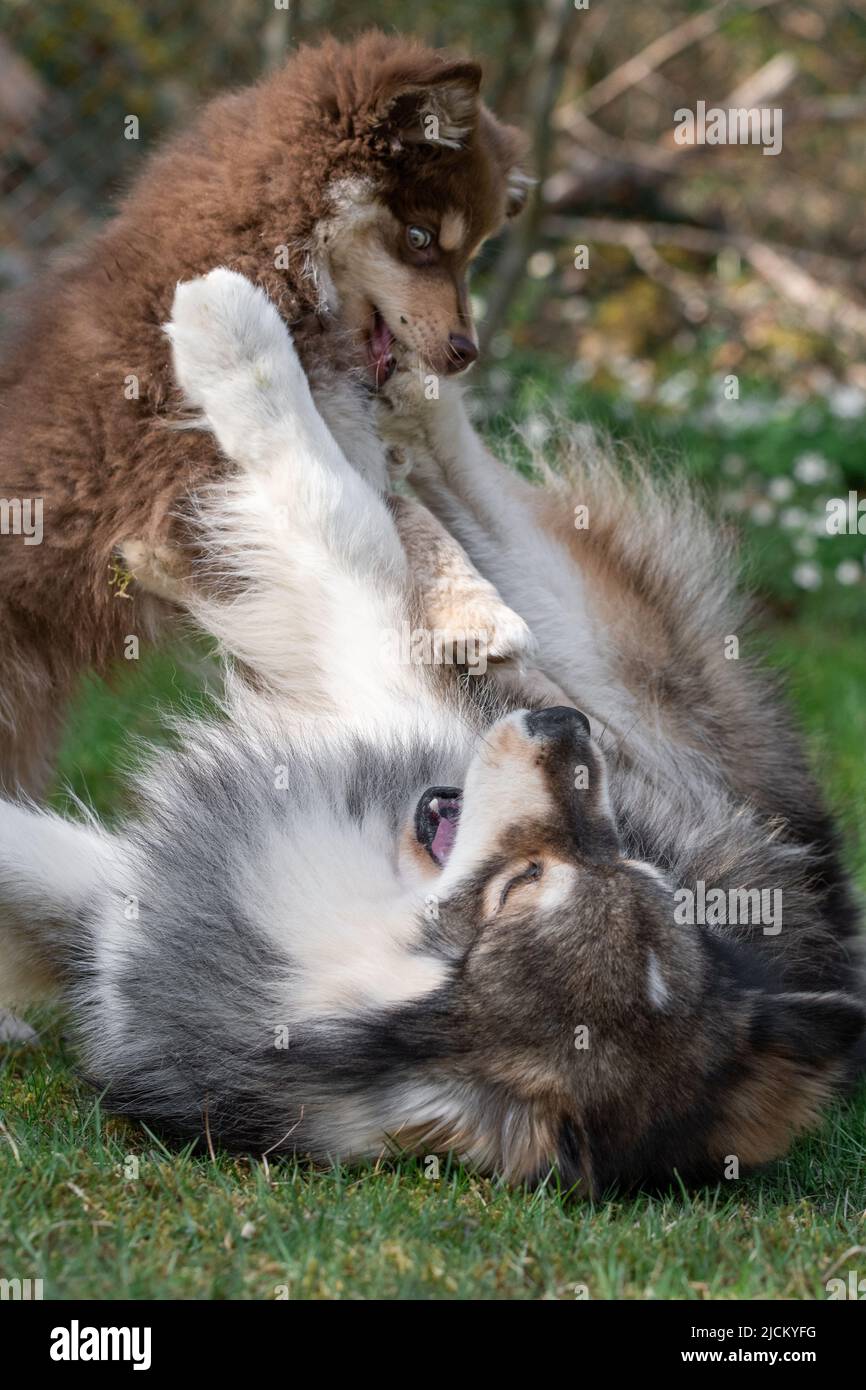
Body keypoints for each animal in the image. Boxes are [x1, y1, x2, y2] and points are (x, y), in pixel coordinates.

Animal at [0, 29, 528, 795]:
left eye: (475, 253)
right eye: (420, 238)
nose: (465, 353)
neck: (264, 259)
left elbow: (403, 516)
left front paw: (472, 610)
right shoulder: (186, 490)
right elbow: (375, 520)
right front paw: (476, 612)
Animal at [0, 271, 861, 1195]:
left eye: (523, 886)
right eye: (651, 876)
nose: (567, 729)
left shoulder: (367, 650)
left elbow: (332, 510)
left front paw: (229, 329)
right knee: (454, 486)